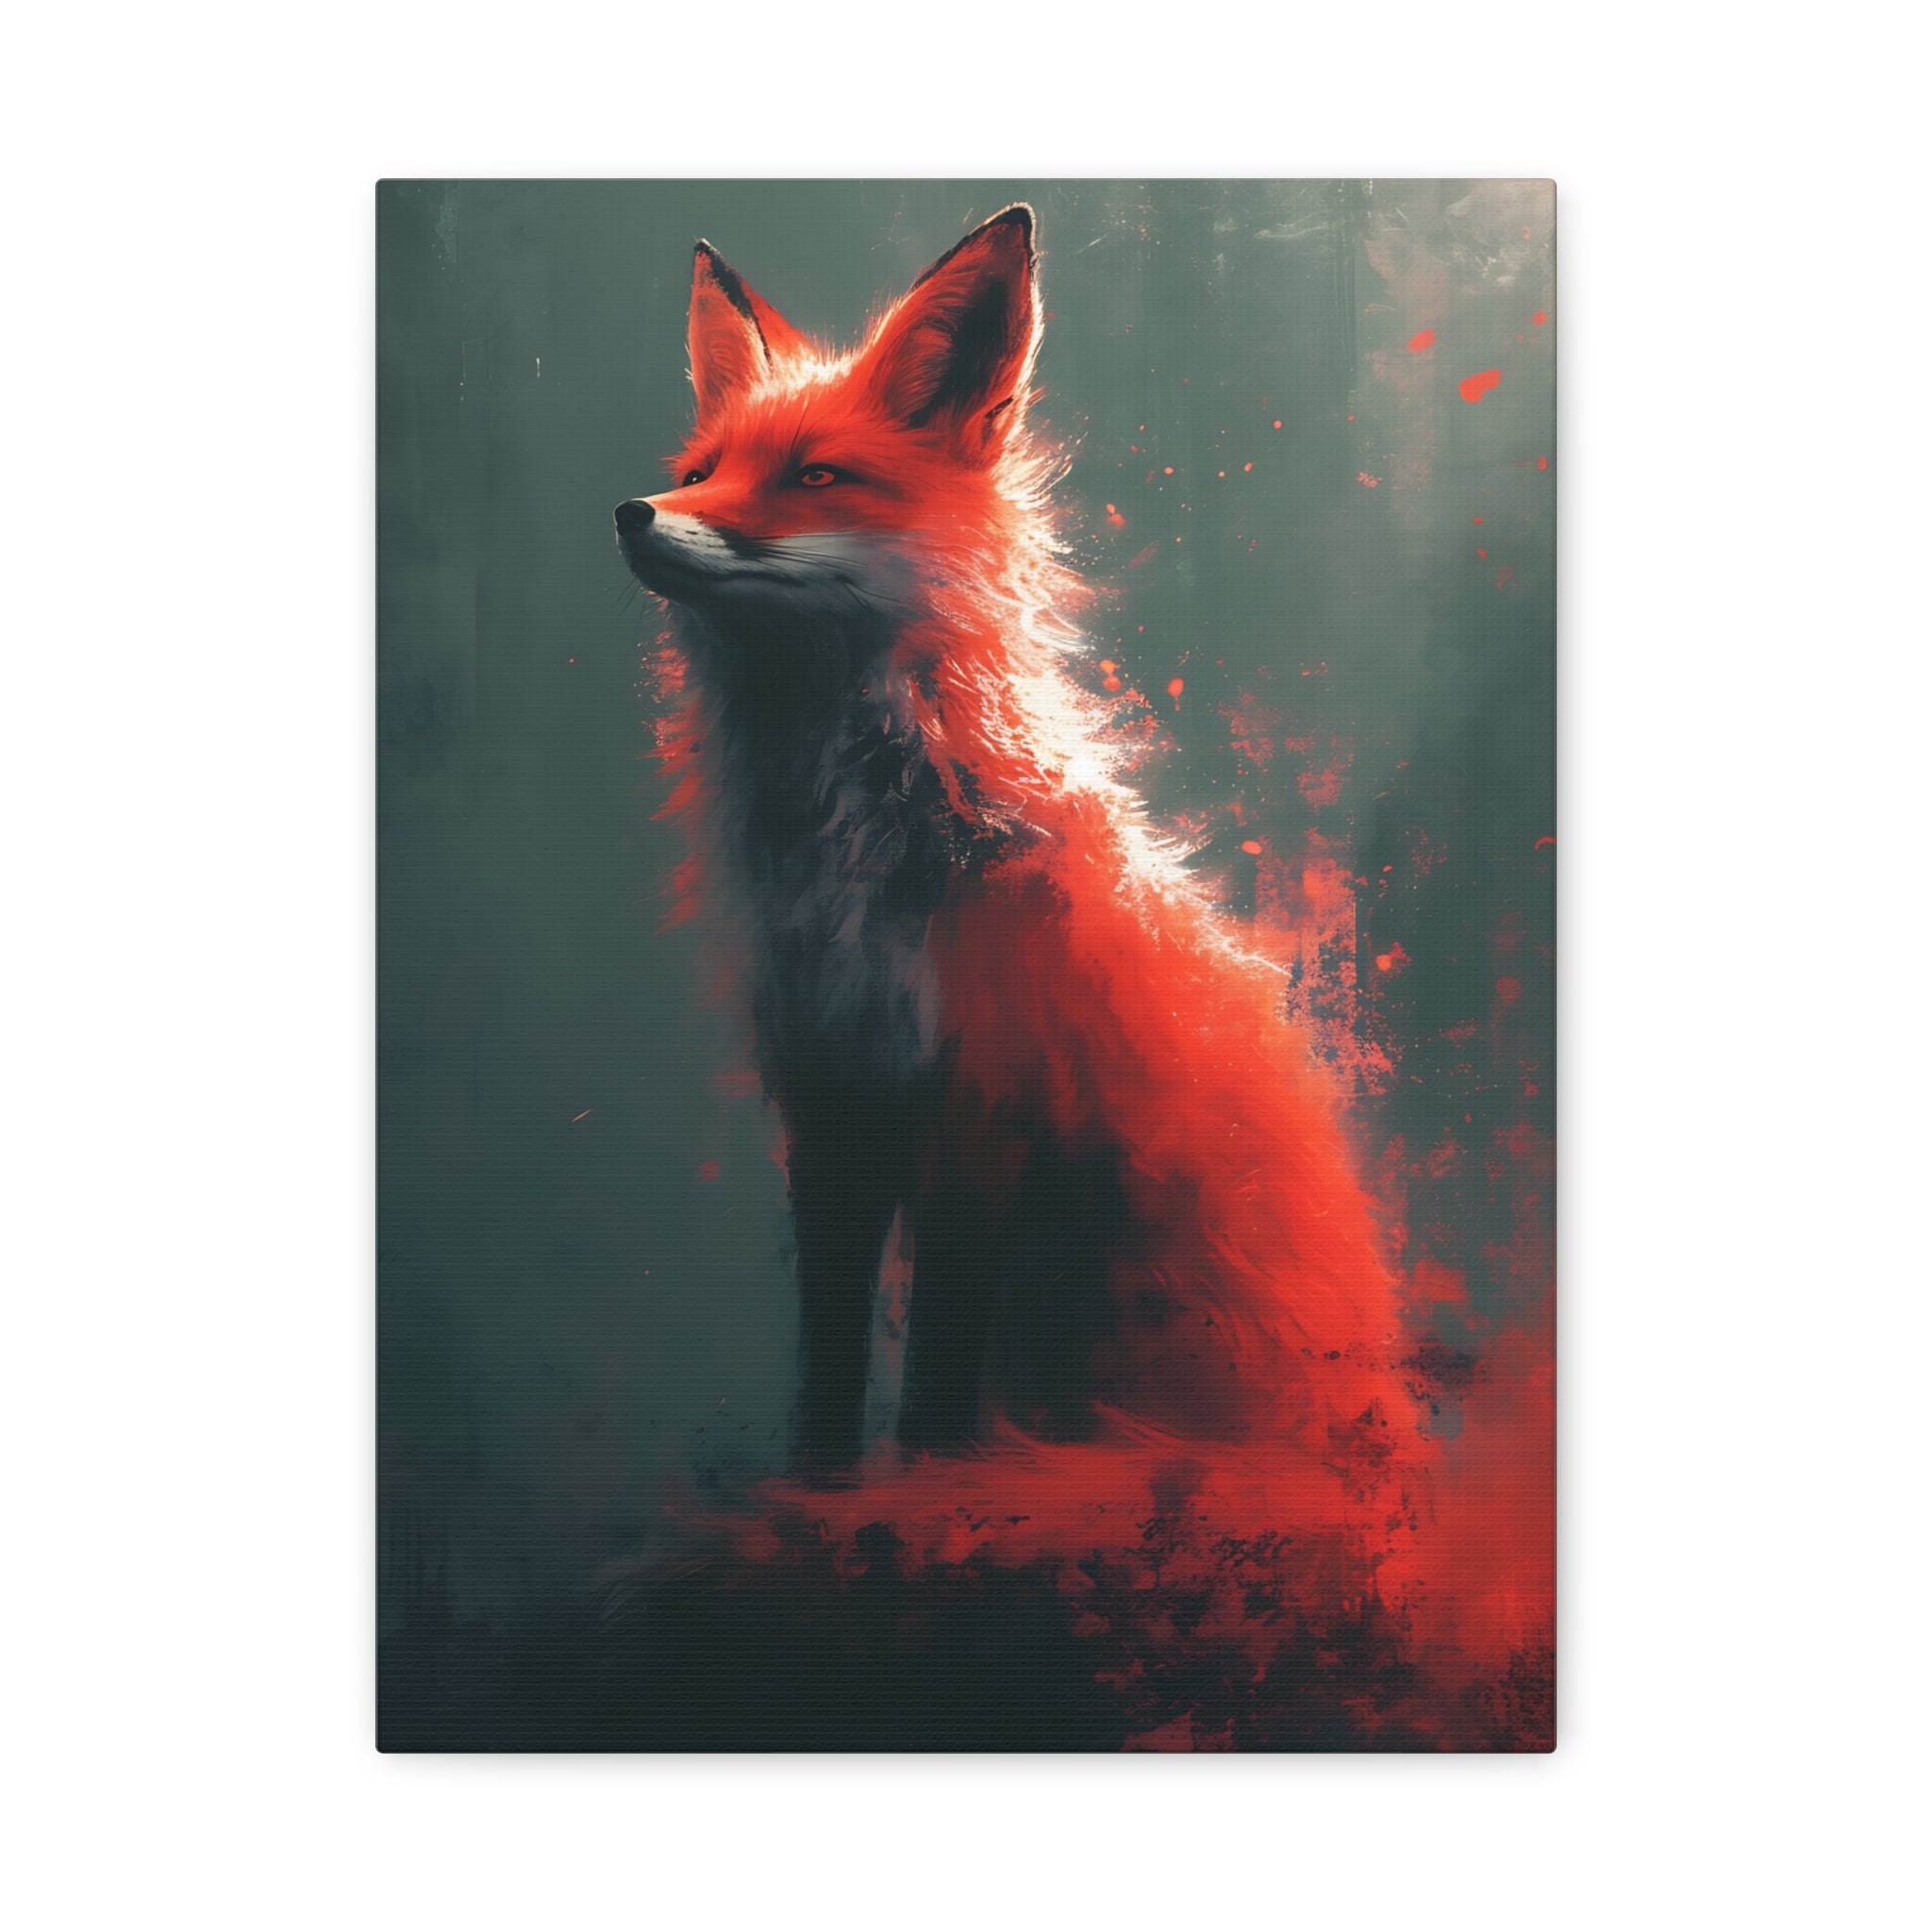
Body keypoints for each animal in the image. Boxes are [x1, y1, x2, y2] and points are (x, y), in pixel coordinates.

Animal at [616, 206, 1418, 1486]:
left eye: (814, 476)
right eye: (701, 473)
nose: (633, 512)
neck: (851, 856)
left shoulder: (985, 1093)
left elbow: (940, 1350)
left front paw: (932, 1480)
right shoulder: (827, 1090)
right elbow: (829, 1343)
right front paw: (819, 1483)